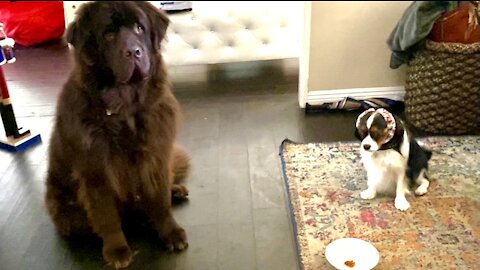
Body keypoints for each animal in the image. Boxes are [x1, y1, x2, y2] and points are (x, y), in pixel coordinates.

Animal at [43, 1, 189, 268]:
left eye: (139, 28)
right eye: (108, 35)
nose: (133, 52)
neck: (126, 106)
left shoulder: (156, 156)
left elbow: (160, 200)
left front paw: (171, 233)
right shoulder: (96, 170)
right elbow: (106, 214)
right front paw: (117, 250)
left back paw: (175, 190)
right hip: (65, 208)